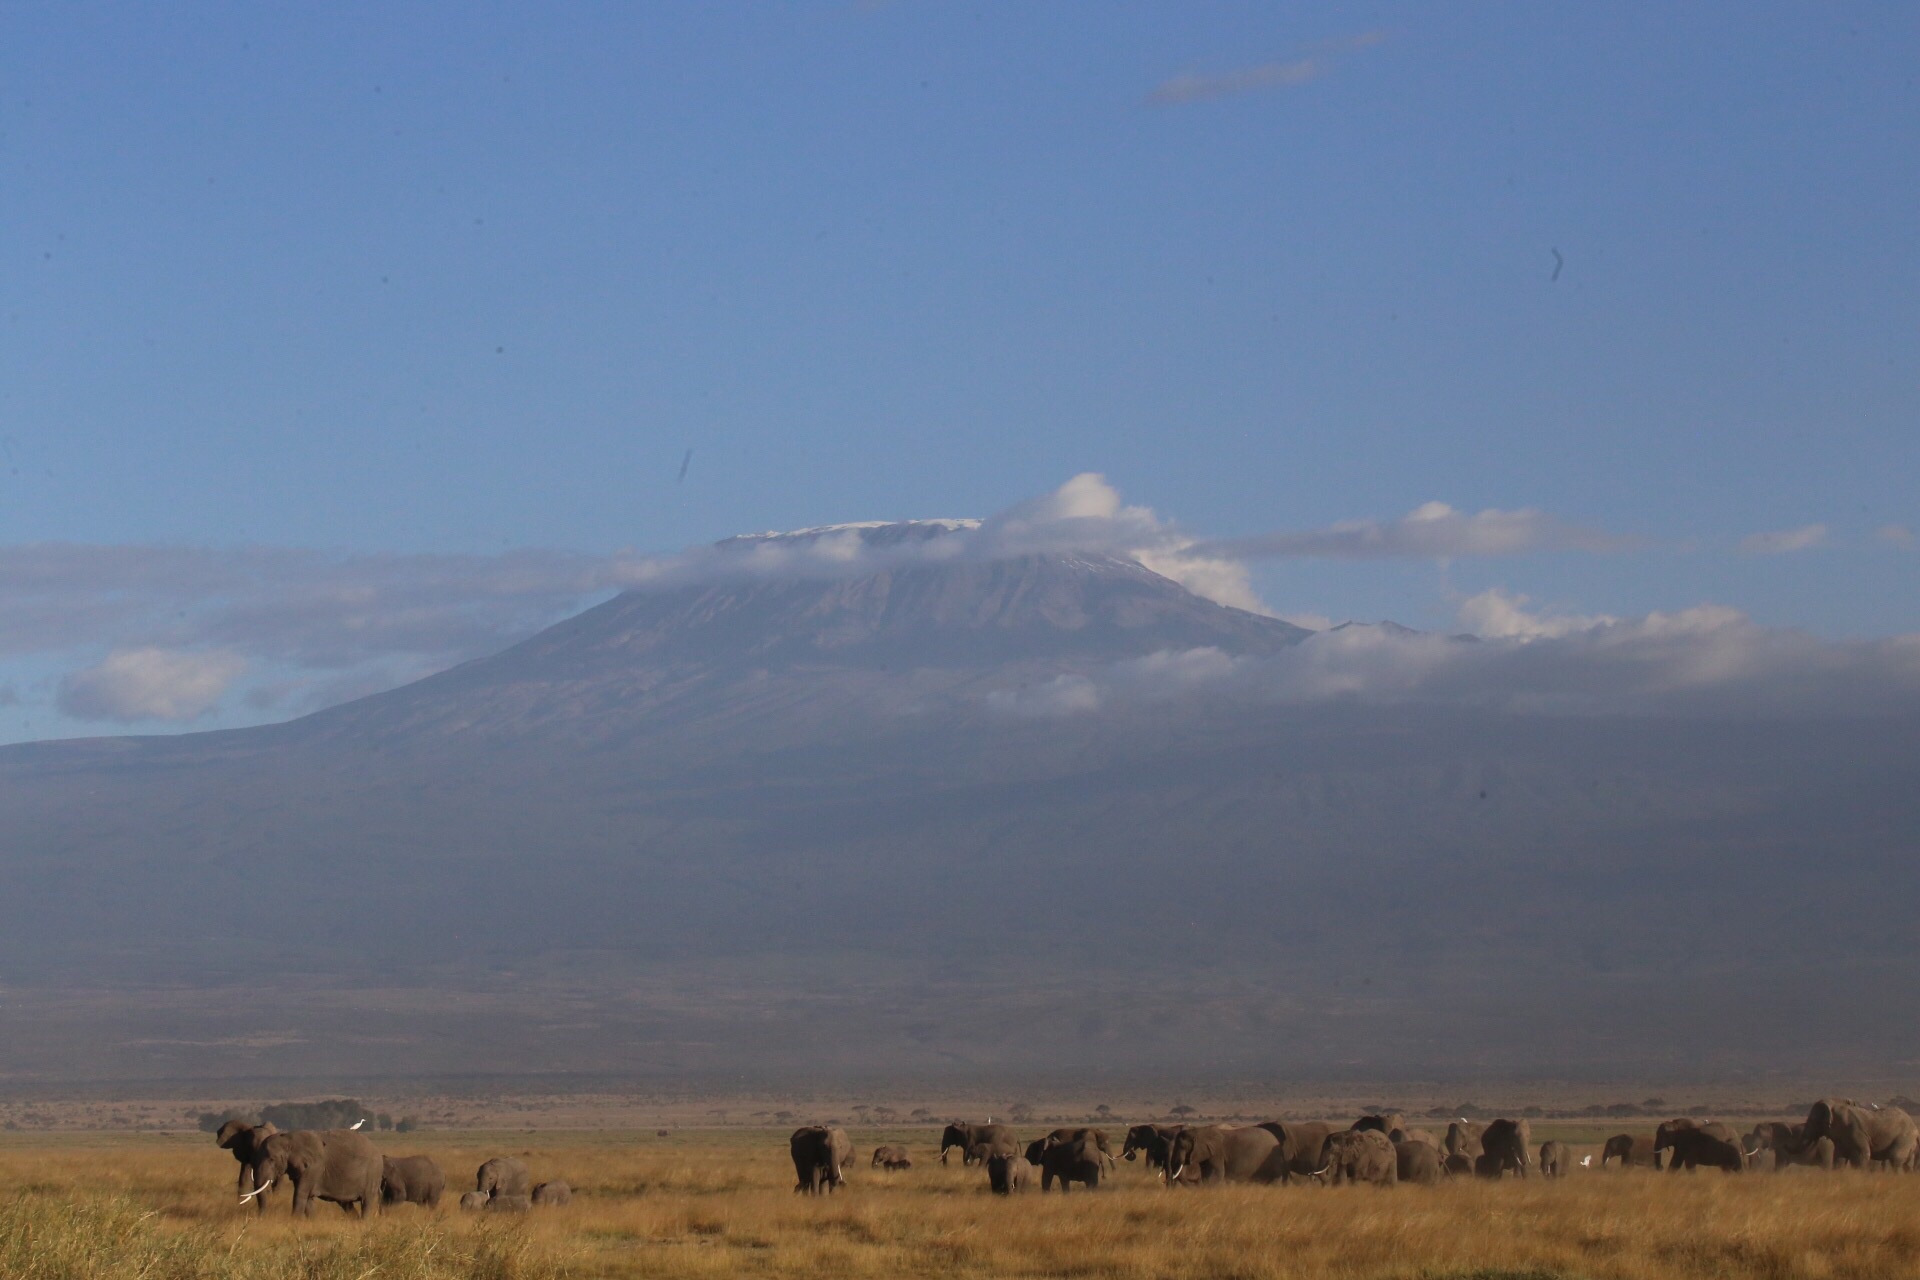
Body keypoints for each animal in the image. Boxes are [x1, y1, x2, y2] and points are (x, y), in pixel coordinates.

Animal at [243, 1128, 382, 1220]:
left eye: (272, 1159)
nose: (261, 1217)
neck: (288, 1139)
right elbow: (308, 1197)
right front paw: (312, 1221)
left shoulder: (313, 1167)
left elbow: (301, 1193)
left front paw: (294, 1221)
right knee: (346, 1204)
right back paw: (355, 1221)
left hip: (373, 1174)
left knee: (367, 1202)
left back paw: (363, 1222)